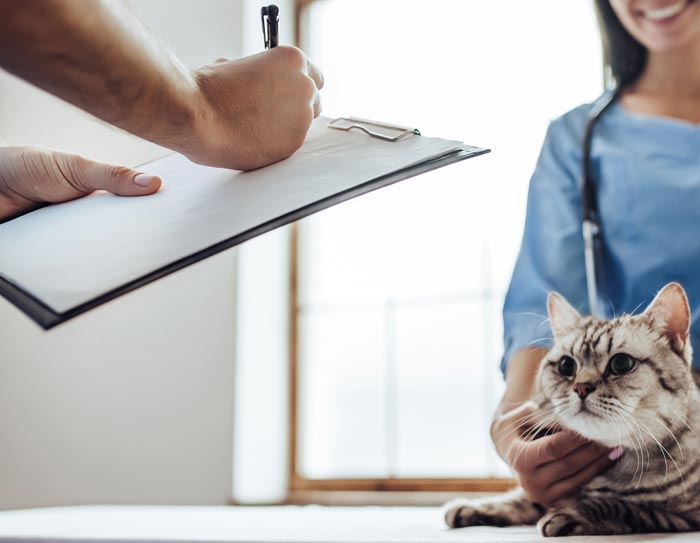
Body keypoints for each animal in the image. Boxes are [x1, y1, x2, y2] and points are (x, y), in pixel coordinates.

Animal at [442, 282, 700, 536]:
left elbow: (621, 506)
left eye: (621, 363)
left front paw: (568, 514)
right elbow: (522, 500)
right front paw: (474, 507)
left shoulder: (680, 515)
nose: (581, 387)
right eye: (567, 366)